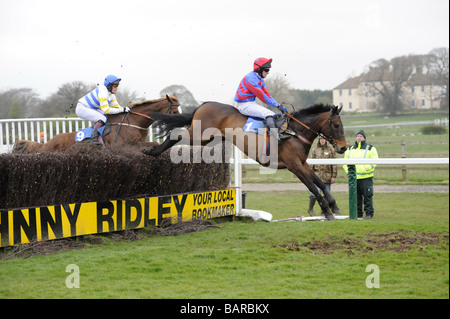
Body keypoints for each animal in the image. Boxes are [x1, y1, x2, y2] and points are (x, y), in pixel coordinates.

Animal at [13, 95, 180, 154]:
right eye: (174, 111)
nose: (180, 126)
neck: (132, 122)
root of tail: (47, 143)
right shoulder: (123, 145)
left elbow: (153, 143)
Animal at [142, 102, 346, 220]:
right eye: (336, 125)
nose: (343, 148)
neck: (294, 132)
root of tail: (204, 104)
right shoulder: (294, 166)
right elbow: (312, 186)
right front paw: (327, 211)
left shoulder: (303, 164)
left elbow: (320, 182)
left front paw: (334, 206)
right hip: (199, 134)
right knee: (176, 135)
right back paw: (152, 151)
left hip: (206, 138)